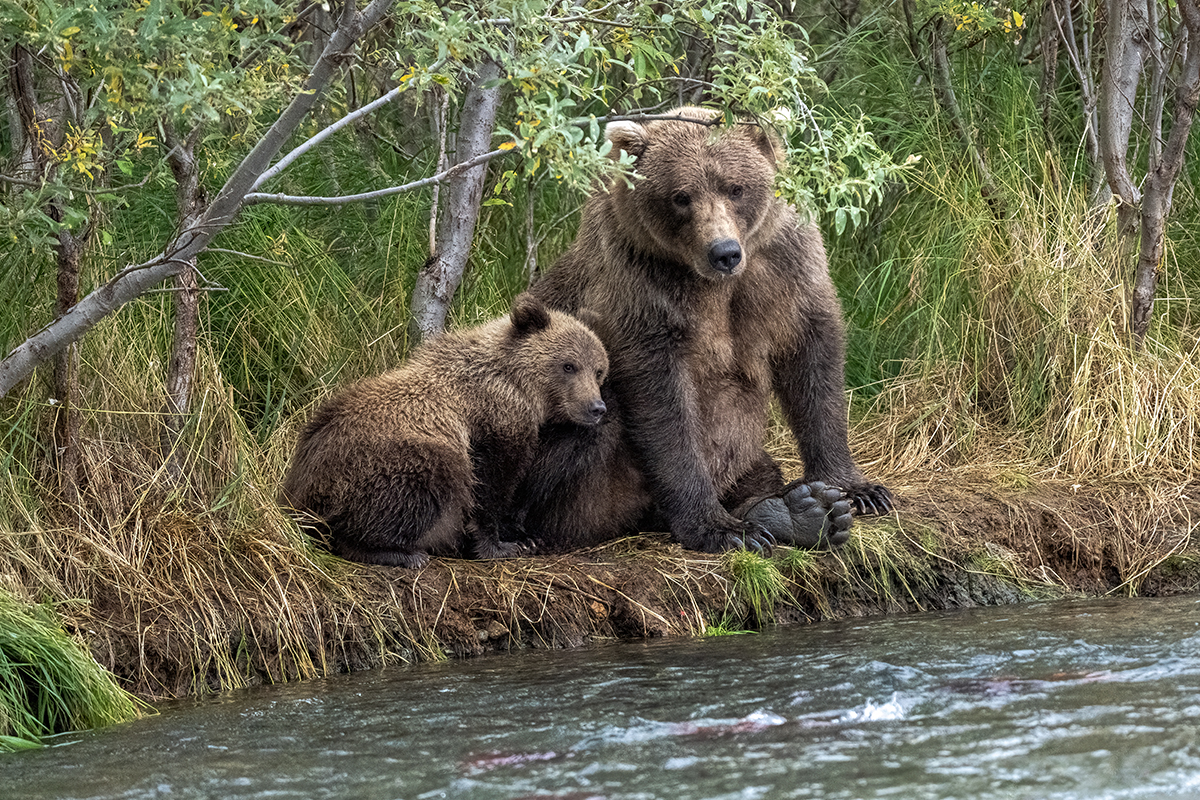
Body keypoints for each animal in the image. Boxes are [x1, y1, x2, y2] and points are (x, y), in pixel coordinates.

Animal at [279, 293, 609, 568]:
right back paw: (398, 553)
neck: (516, 385)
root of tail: (298, 489)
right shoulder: (491, 422)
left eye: (599, 370)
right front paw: (499, 545)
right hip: (376, 465)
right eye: (568, 366)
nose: (596, 407)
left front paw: (524, 537)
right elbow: (491, 484)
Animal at [512, 106, 892, 555]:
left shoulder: (786, 267)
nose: (724, 252)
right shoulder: (640, 285)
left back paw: (800, 512)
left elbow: (813, 361)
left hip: (747, 454)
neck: (710, 282)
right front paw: (716, 527)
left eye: (736, 187)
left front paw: (856, 490)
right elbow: (664, 401)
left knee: (759, 471)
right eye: (681, 196)